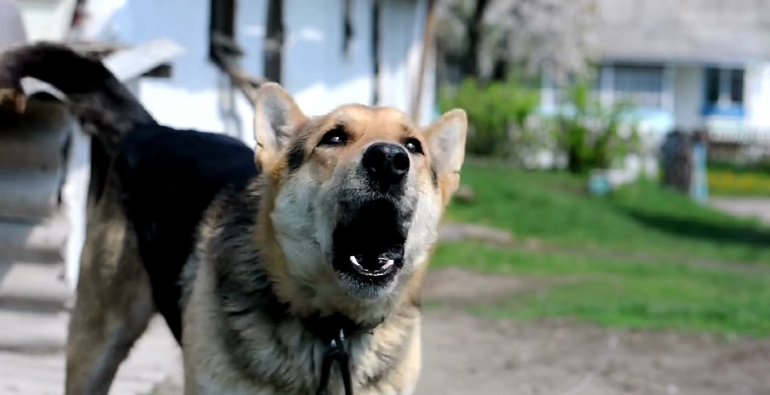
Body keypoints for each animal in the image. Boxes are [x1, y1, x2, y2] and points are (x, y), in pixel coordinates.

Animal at [0, 42, 468, 395]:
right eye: (334, 138)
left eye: (413, 146)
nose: (389, 160)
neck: (332, 328)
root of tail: (151, 129)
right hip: (96, 342)